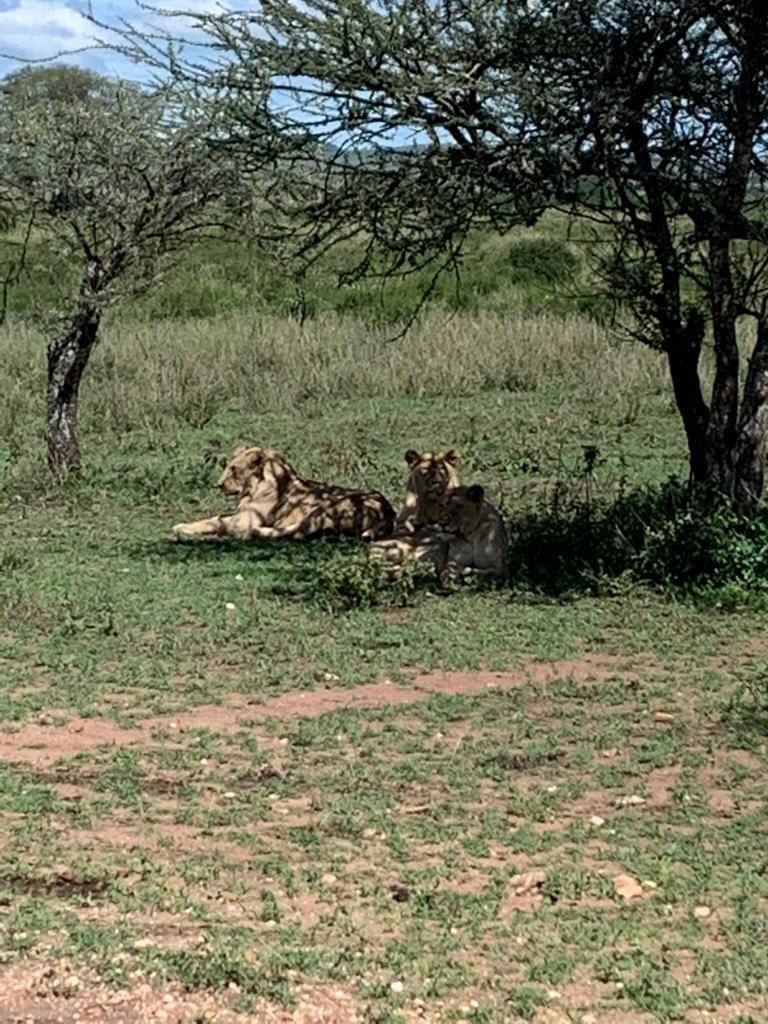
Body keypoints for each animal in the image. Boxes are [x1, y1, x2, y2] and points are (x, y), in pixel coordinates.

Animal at [172, 446, 396, 542]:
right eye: (228, 467)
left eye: (234, 470)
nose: (219, 485)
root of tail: (389, 512)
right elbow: (213, 518)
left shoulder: (244, 520)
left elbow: (216, 522)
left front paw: (182, 528)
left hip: (326, 506)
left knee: (298, 532)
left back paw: (259, 532)